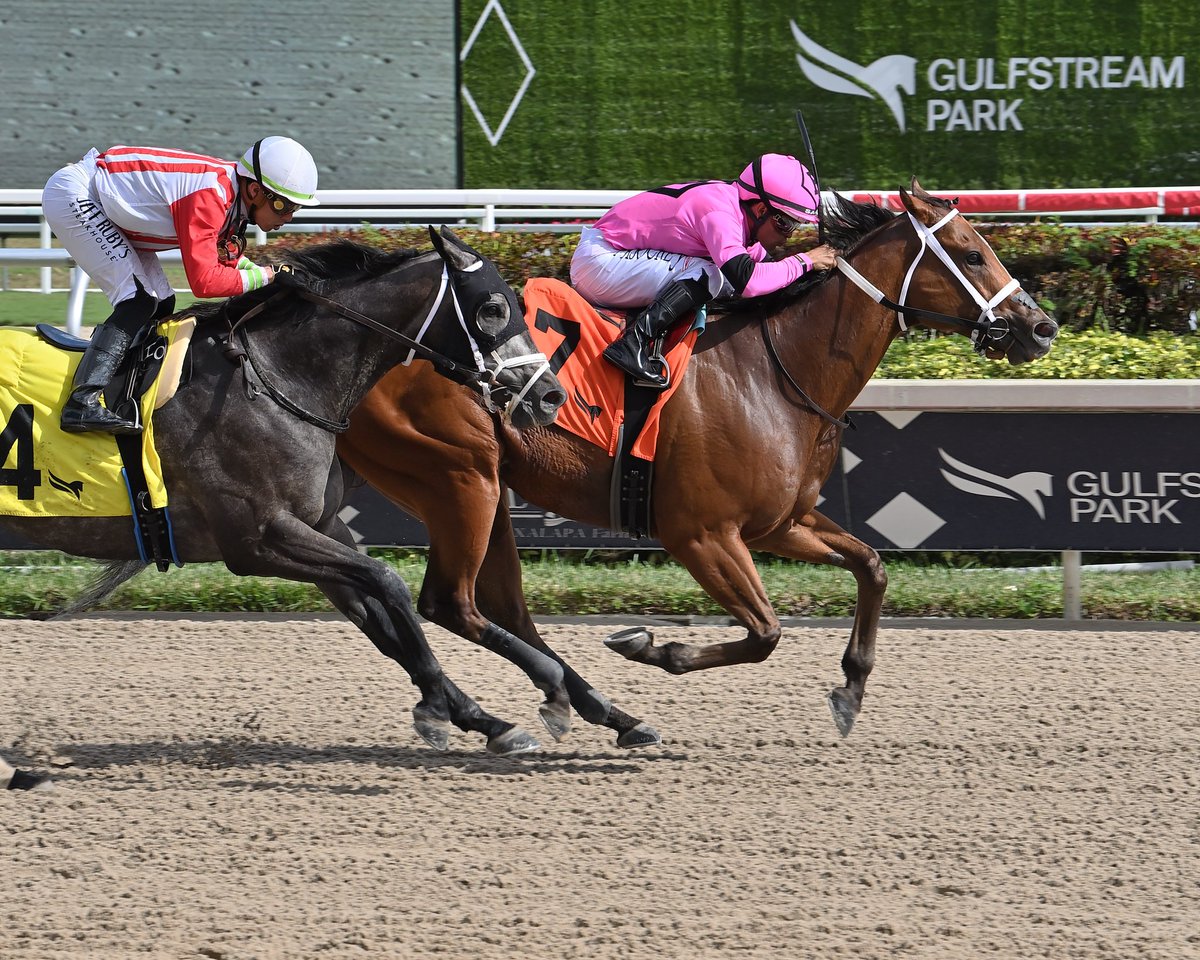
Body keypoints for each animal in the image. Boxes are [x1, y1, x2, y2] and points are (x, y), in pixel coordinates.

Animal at [0, 226, 571, 758]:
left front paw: (504, 713)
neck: (276, 379)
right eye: (493, 308)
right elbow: (387, 581)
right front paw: (452, 702)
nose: (549, 396)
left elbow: (382, 621)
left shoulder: (319, 525)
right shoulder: (257, 538)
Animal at [338, 183, 1060, 744]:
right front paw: (652, 646)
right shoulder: (701, 534)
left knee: (490, 607)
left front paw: (851, 688)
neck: (777, 370)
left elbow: (872, 567)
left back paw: (597, 713)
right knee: (448, 601)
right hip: (460, 480)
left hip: (478, 489)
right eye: (972, 253)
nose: (1042, 328)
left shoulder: (780, 523)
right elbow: (766, 631)